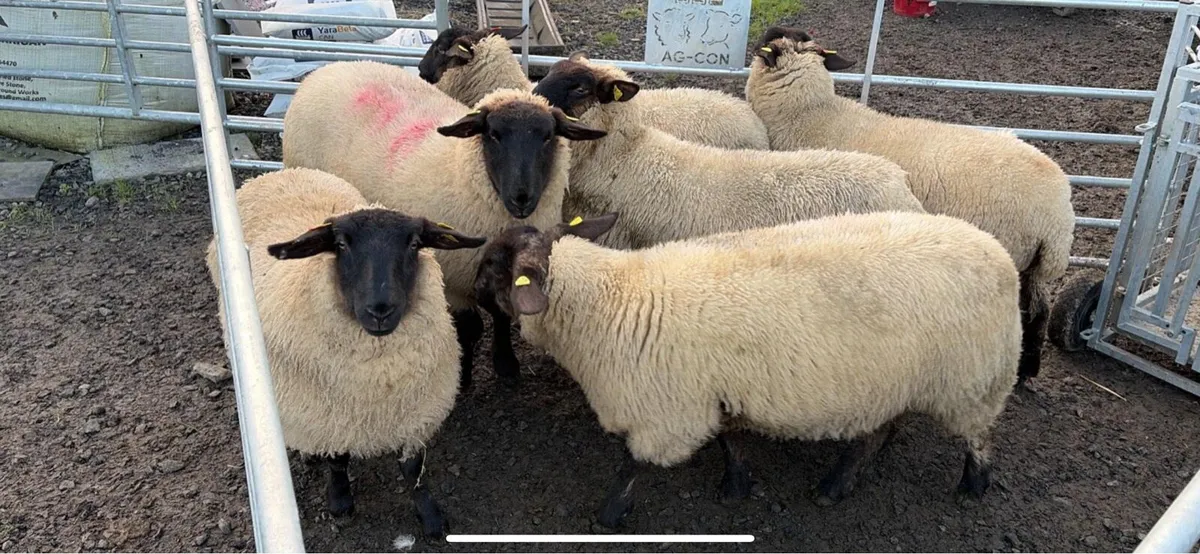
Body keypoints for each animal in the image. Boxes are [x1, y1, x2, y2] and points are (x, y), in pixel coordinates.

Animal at [204, 167, 488, 538]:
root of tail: (276, 174)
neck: (380, 383)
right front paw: (340, 502)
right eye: (340, 244)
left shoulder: (414, 414)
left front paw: (431, 517)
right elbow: (338, 462)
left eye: (414, 244)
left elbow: (414, 472)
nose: (380, 309)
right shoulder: (332, 418)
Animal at [282, 60, 607, 391]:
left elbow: (501, 314)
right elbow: (470, 328)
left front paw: (506, 363)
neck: (459, 169)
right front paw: (463, 378)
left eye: (547, 136)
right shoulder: (452, 278)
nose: (521, 197)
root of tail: (332, 66)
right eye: (493, 134)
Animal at [473, 211, 1022, 528]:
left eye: (495, 264)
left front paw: (610, 516)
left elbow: (633, 466)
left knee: (978, 438)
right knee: (878, 429)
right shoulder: (713, 391)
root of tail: (996, 251)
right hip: (895, 381)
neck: (612, 300)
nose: (473, 291)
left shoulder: (666, 415)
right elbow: (729, 439)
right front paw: (735, 486)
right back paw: (842, 481)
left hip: (973, 382)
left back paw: (970, 487)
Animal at [745, 26, 1076, 384]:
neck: (812, 114)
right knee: (1038, 312)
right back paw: (1029, 370)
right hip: (1034, 265)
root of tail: (1058, 218)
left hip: (1009, 247)